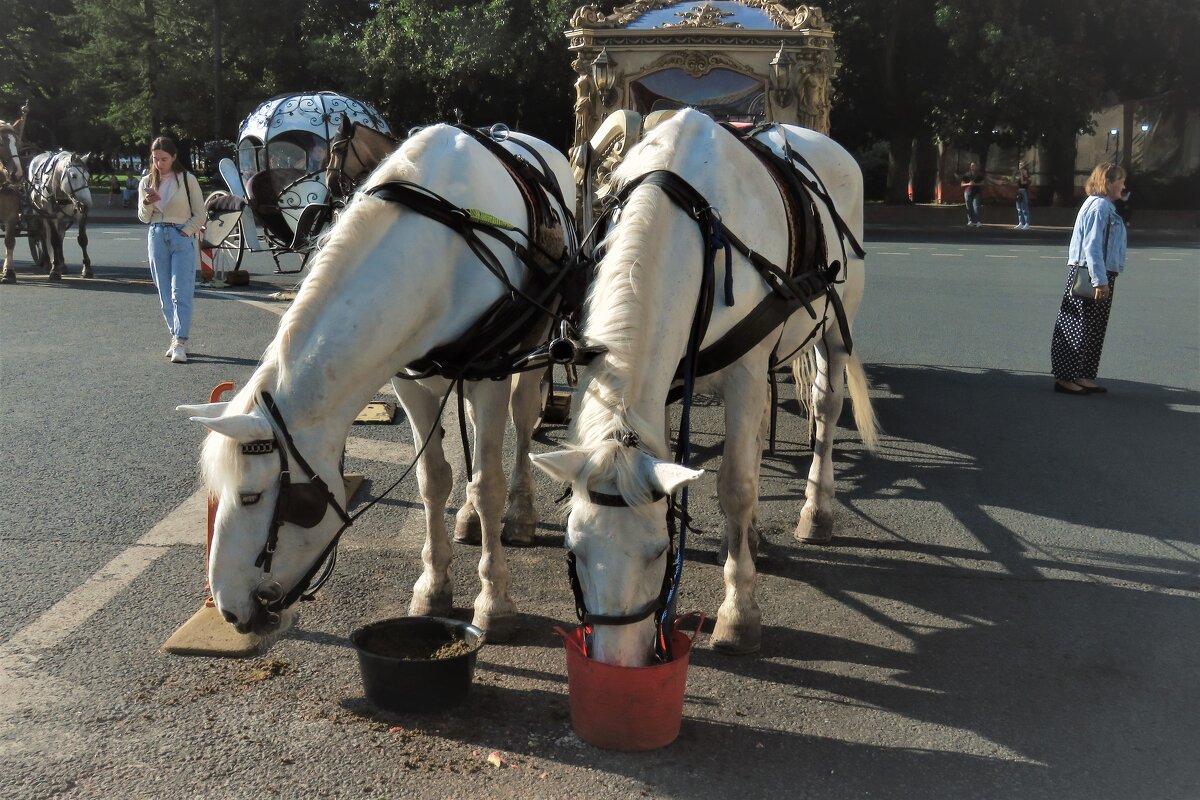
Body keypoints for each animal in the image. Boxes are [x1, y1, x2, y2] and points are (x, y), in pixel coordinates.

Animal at [175, 123, 576, 638]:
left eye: (251, 497)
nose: (228, 609)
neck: (438, 250)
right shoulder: (410, 381)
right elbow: (433, 480)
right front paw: (433, 586)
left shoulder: (492, 373)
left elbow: (489, 484)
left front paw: (494, 600)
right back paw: (468, 518)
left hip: (533, 351)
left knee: (523, 423)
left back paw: (522, 512)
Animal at [530, 109, 878, 666]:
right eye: (574, 548)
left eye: (658, 550)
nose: (617, 663)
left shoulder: (745, 372)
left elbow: (735, 487)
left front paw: (738, 615)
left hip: (830, 331)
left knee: (825, 411)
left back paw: (816, 512)